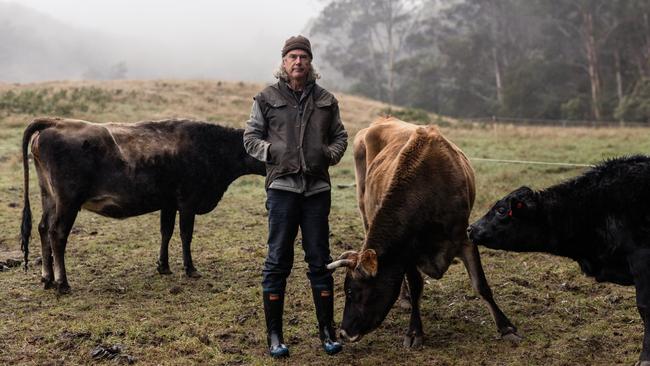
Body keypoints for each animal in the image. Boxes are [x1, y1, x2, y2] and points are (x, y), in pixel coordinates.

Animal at [20, 117, 264, 294]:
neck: (211, 148)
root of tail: (57, 122)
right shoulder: (188, 201)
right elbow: (186, 234)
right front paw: (190, 269)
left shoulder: (168, 202)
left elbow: (166, 231)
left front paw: (163, 266)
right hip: (68, 201)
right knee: (57, 233)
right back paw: (62, 283)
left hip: (49, 196)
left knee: (43, 228)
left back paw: (47, 278)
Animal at [326, 117, 520, 346]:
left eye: (352, 291)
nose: (343, 333)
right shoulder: (407, 250)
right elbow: (416, 285)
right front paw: (414, 331)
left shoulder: (465, 238)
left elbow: (481, 284)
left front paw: (506, 327)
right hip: (365, 211)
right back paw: (404, 299)